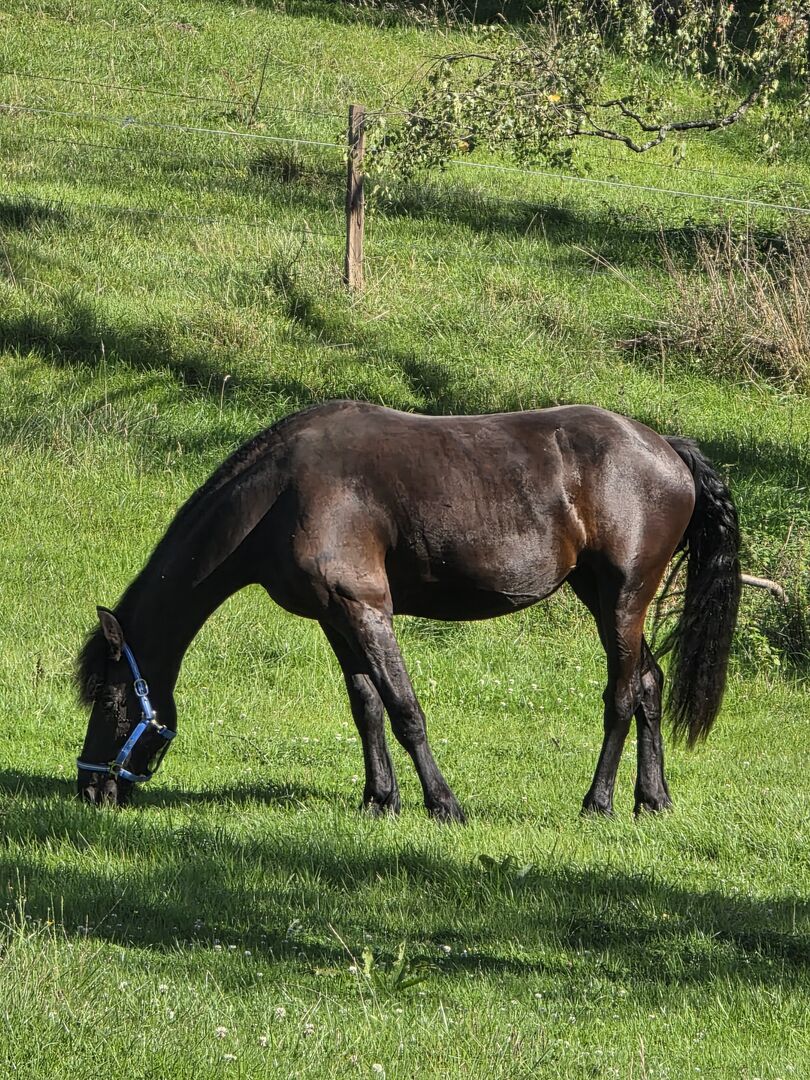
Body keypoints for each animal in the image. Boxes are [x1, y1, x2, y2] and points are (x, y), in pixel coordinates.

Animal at [76, 400, 741, 819]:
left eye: (108, 699)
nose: (89, 788)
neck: (281, 494)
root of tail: (667, 448)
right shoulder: (336, 617)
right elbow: (366, 706)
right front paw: (379, 799)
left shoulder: (366, 608)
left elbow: (404, 708)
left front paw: (442, 803)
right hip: (602, 597)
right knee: (649, 682)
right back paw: (652, 800)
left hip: (623, 597)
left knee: (622, 695)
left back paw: (598, 802)